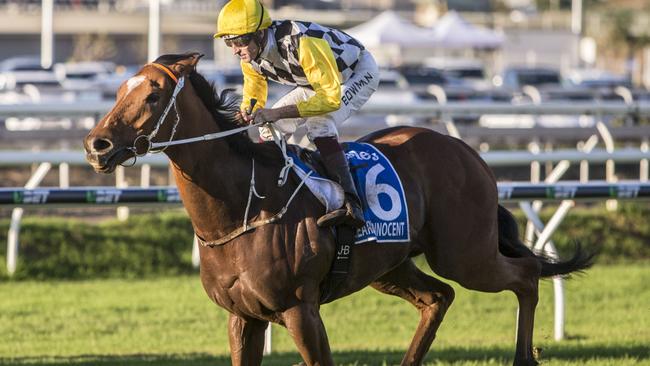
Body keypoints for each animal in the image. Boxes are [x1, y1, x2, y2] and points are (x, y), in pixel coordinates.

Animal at [83, 53, 588, 366]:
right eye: (119, 90)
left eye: (151, 95)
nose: (96, 145)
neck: (243, 208)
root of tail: (471, 154)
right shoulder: (242, 317)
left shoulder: (300, 310)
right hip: (391, 265)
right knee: (439, 298)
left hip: (465, 255)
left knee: (524, 276)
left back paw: (524, 356)